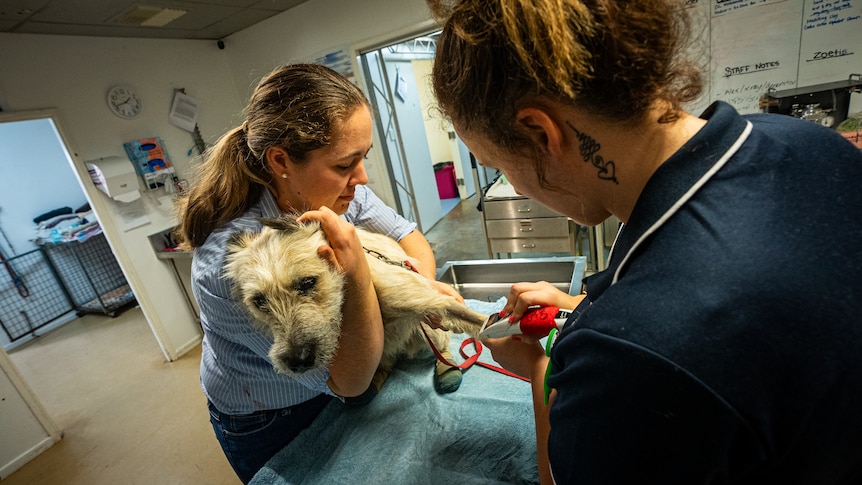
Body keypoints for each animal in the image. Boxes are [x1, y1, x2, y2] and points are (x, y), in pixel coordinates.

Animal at [226, 217, 490, 398]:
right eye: (259, 301)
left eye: (308, 282)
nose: (297, 362)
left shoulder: (427, 300)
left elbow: (475, 320)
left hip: (429, 331)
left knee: (439, 345)